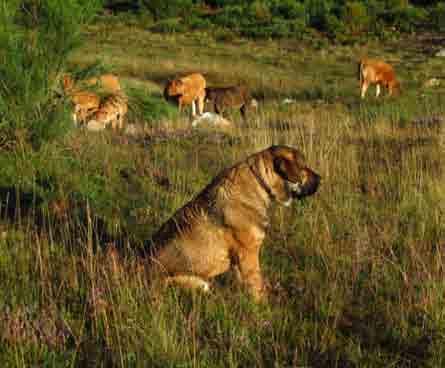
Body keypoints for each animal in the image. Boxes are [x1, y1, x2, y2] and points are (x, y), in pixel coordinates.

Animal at [144, 145, 320, 300]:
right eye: (303, 167)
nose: (321, 179)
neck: (260, 183)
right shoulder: (248, 254)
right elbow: (257, 287)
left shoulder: (239, 259)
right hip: (196, 283)